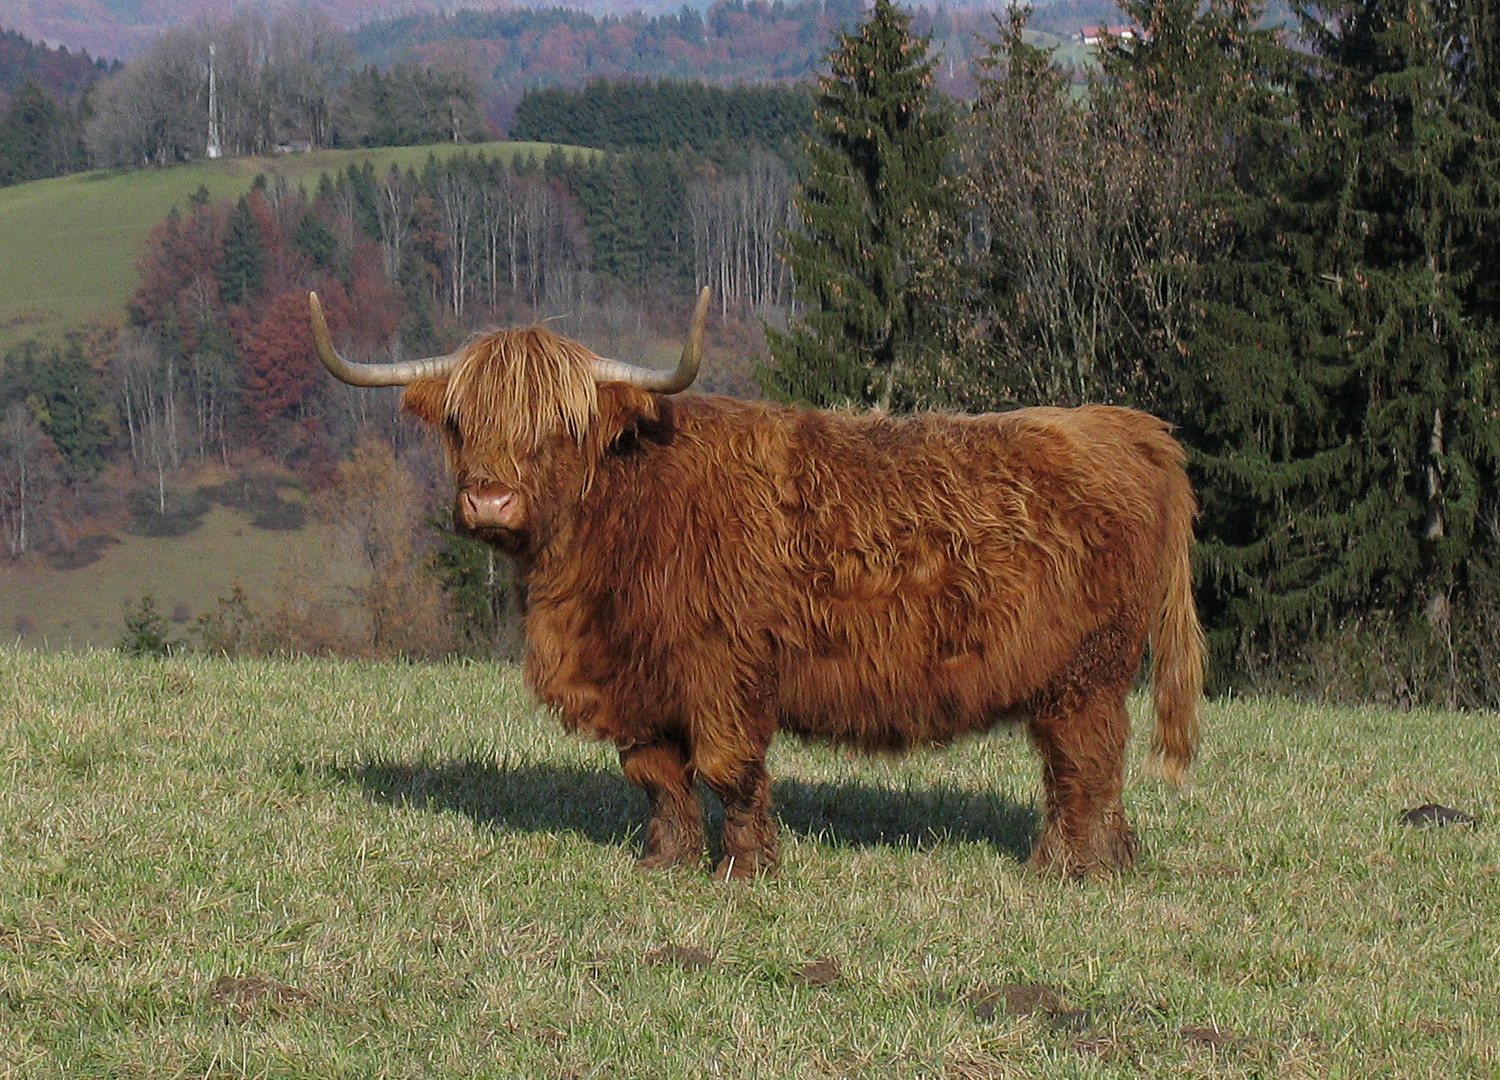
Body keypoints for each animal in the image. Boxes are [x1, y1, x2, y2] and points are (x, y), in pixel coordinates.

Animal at [313, 291, 1206, 882]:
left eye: (560, 425)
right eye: (461, 421)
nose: (489, 499)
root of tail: (1126, 427)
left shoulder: (725, 671)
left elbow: (727, 770)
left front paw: (745, 871)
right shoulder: (640, 683)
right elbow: (658, 779)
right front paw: (665, 865)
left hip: (1086, 671)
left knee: (1084, 766)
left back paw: (1065, 871)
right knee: (1084, 771)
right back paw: (1104, 862)